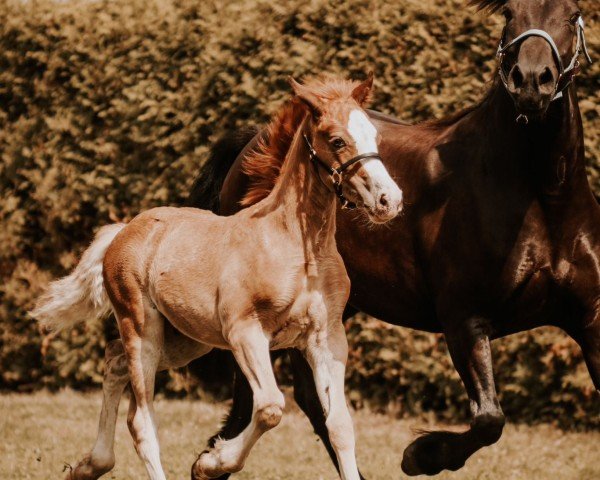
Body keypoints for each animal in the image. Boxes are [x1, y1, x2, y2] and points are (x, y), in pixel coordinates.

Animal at [30, 73, 400, 478]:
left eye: (375, 136)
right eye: (336, 139)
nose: (389, 200)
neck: (299, 247)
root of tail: (124, 230)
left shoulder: (325, 337)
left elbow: (340, 426)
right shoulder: (246, 332)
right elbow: (270, 408)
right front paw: (210, 462)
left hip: (186, 340)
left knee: (114, 362)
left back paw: (90, 465)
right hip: (142, 330)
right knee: (141, 421)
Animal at [186, 0, 596, 476]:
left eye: (573, 13)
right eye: (510, 13)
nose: (531, 80)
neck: (542, 199)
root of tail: (253, 144)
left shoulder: (590, 317)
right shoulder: (464, 319)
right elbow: (489, 418)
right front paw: (421, 455)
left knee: (305, 398)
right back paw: (214, 461)